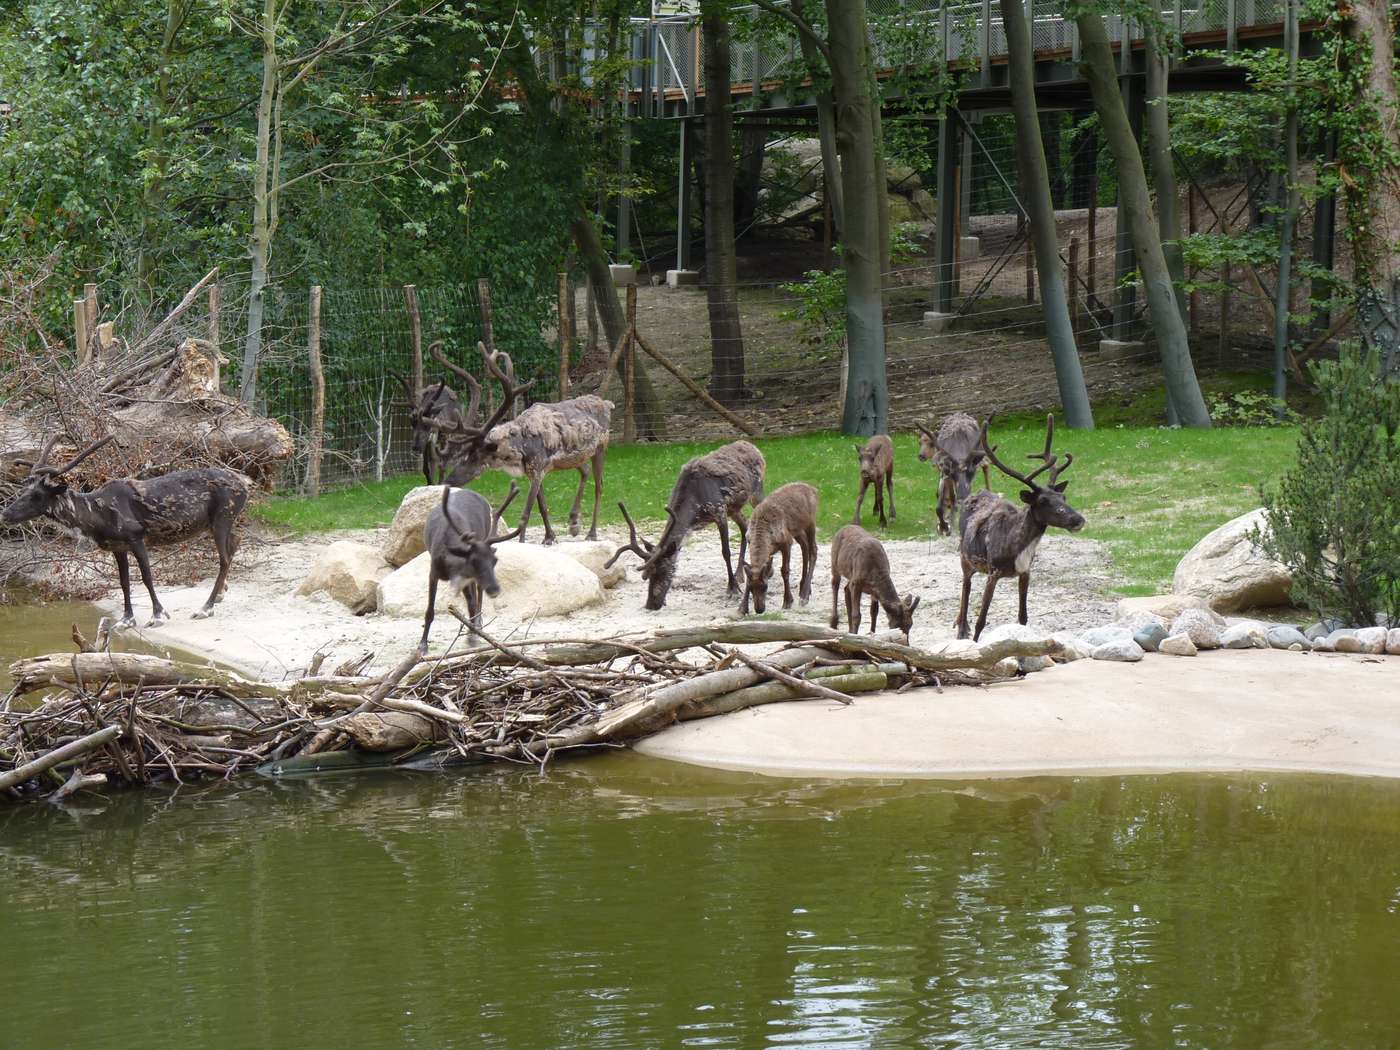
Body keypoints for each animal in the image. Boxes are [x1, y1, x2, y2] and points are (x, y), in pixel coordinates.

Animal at [739, 484, 817, 616]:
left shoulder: (786, 542)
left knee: (813, 551)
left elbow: (785, 571)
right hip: (797, 529)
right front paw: (742, 608)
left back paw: (804, 596)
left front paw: (787, 601)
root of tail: (813, 489)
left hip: (810, 523)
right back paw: (803, 587)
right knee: (805, 546)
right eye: (751, 588)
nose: (759, 609)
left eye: (765, 587)